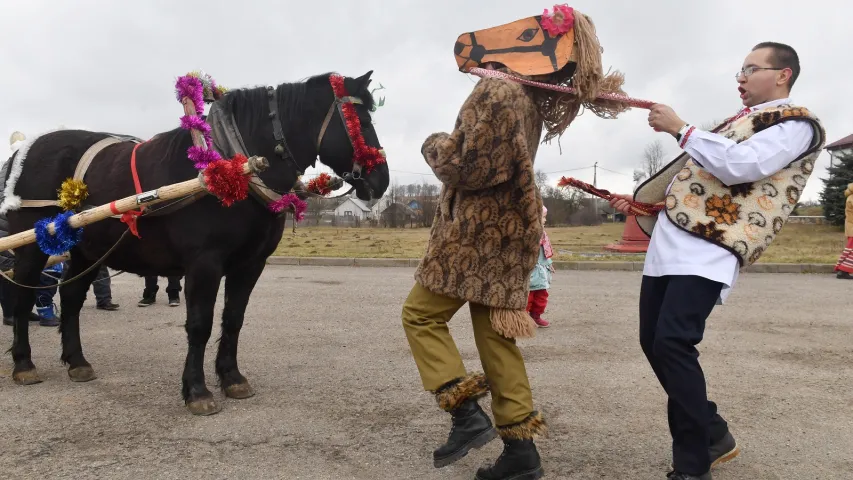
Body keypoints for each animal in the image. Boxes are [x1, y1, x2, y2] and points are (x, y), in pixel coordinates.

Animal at [2, 69, 390, 414]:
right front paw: (197, 391)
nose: (381, 181)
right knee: (22, 297)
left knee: (70, 297)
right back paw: (24, 364)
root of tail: (25, 150)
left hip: (86, 250)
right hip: (34, 246)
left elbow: (233, 319)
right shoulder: (204, 263)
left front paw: (232, 378)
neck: (232, 166)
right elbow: (200, 324)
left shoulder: (250, 264)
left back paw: (77, 361)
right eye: (359, 120)